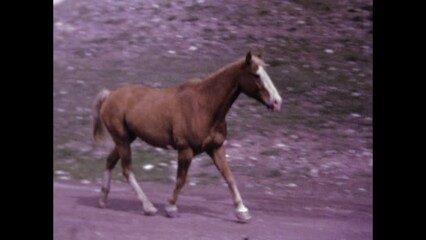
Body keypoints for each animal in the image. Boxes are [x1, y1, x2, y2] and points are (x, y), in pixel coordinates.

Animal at [91, 51, 282, 223]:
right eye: (256, 74)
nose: (277, 102)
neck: (205, 105)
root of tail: (110, 95)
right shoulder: (185, 150)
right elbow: (181, 180)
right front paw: (170, 208)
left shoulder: (216, 148)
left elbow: (229, 177)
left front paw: (242, 212)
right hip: (122, 139)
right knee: (127, 170)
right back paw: (148, 207)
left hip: (126, 138)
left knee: (110, 161)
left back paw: (103, 200)